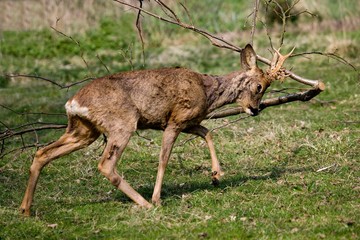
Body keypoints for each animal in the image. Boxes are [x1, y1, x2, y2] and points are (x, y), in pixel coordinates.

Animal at [19, 43, 292, 216]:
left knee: (42, 153)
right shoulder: (174, 121)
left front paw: (216, 174)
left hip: (83, 130)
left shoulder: (187, 121)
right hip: (122, 123)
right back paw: (145, 204)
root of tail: (73, 103)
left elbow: (208, 133)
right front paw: (157, 198)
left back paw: (25, 209)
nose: (255, 110)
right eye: (259, 86)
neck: (208, 91)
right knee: (105, 164)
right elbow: (164, 159)